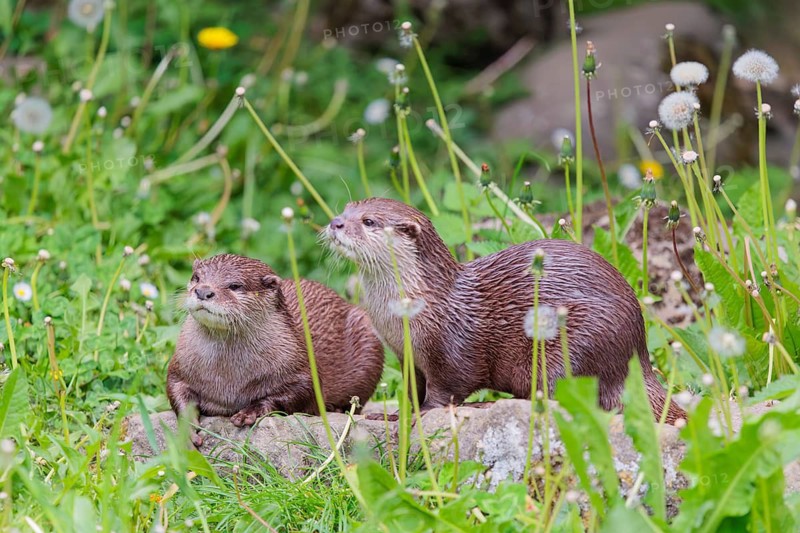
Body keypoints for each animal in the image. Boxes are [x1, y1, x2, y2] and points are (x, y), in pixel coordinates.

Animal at [167, 254, 385, 446]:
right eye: (196, 277)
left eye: (235, 286)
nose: (203, 291)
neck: (228, 380)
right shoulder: (180, 366)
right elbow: (175, 389)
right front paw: (187, 430)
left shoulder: (299, 364)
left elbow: (303, 393)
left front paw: (250, 412)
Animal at [325, 198, 685, 424]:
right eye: (347, 208)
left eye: (369, 221)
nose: (335, 223)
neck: (403, 313)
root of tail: (638, 353)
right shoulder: (406, 355)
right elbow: (412, 391)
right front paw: (390, 414)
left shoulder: (450, 349)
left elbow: (447, 389)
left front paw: (423, 413)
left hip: (577, 343)